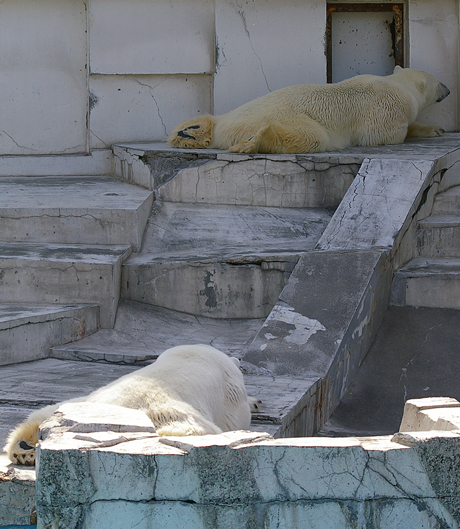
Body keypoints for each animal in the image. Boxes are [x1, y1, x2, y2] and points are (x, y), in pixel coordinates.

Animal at [4, 344, 258, 464]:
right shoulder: (230, 397)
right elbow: (236, 417)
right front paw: (254, 402)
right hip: (170, 411)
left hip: (77, 403)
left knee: (40, 415)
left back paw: (24, 449)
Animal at [168, 66, 450, 155]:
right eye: (439, 82)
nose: (448, 90)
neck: (398, 84)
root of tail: (224, 130)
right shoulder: (385, 111)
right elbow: (388, 135)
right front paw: (427, 129)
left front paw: (437, 129)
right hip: (291, 117)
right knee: (313, 137)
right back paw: (254, 142)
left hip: (232, 114)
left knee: (212, 119)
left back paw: (189, 131)